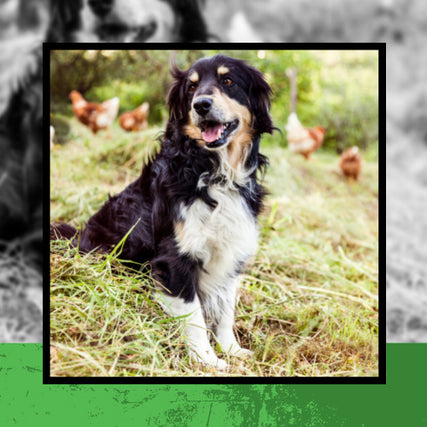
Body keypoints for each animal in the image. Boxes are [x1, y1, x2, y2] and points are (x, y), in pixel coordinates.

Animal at [51, 55, 274, 370]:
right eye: (191, 87)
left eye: (228, 81)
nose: (201, 105)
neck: (214, 172)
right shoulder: (174, 259)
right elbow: (194, 315)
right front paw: (206, 359)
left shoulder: (230, 253)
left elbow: (226, 310)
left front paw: (231, 349)